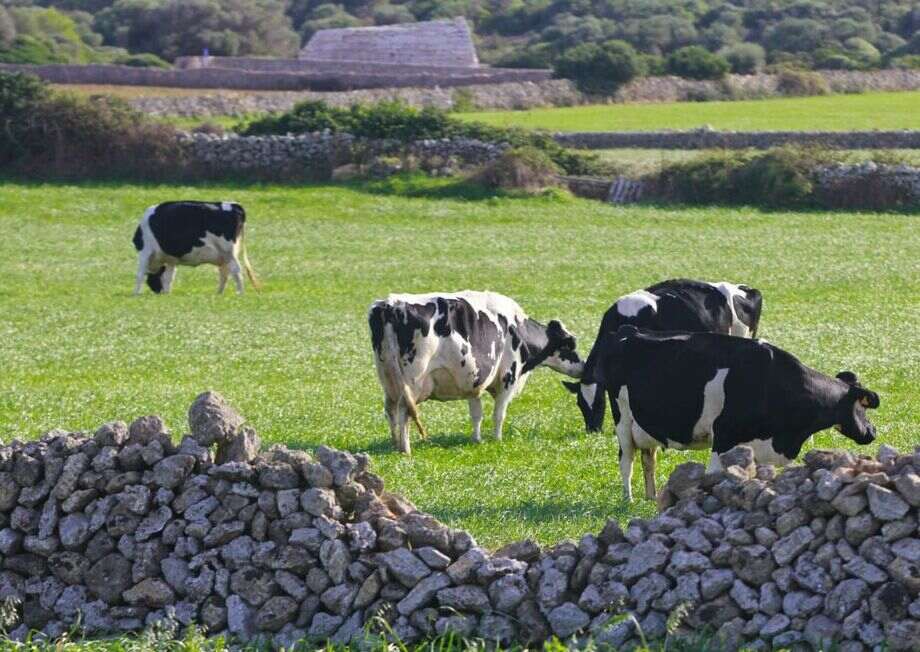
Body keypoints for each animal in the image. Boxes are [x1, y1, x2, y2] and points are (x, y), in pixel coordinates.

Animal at [368, 291, 583, 454]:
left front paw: (477, 440)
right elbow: (499, 414)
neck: (518, 330)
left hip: (388, 378)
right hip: (412, 381)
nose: (583, 366)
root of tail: (391, 304)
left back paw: (395, 444)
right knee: (405, 411)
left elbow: (476, 414)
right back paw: (405, 449)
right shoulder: (508, 378)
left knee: (391, 410)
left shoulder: (473, 381)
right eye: (570, 344)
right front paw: (497, 439)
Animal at [594, 325, 879, 501]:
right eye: (863, 406)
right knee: (627, 461)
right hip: (623, 420)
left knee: (648, 458)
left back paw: (651, 497)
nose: (873, 431)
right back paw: (628, 499)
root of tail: (628, 331)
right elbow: (713, 475)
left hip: (645, 426)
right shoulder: (723, 436)